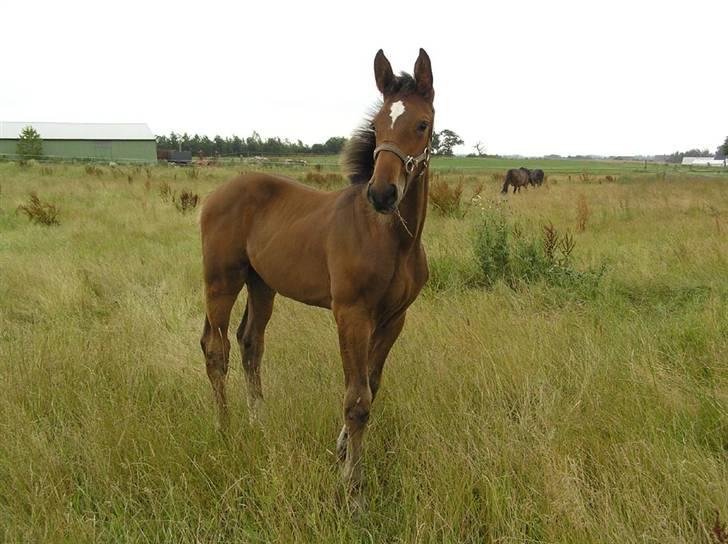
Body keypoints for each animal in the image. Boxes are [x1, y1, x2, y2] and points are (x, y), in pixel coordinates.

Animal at [199, 49, 436, 500]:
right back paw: (223, 428)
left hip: (262, 284)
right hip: (222, 279)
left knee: (250, 343)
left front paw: (341, 450)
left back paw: (259, 421)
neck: (391, 238)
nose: (382, 194)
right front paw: (352, 488)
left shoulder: (395, 318)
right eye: (377, 125)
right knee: (216, 348)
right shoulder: (351, 314)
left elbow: (371, 386)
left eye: (422, 124)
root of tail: (216, 192)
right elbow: (357, 400)